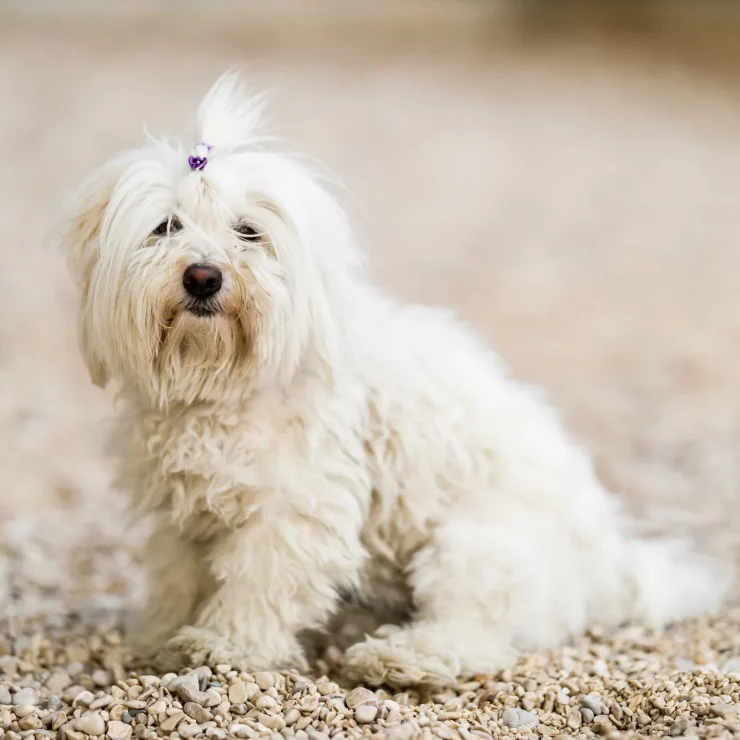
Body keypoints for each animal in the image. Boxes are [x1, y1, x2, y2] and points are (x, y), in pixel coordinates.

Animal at [63, 76, 728, 688]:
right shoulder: (185, 510)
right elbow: (178, 576)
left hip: (475, 545)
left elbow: (260, 583)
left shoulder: (295, 508)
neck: (223, 384)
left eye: (248, 231)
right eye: (166, 227)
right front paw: (158, 635)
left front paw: (225, 647)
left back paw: (397, 657)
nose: (203, 276)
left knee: (472, 637)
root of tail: (616, 570)